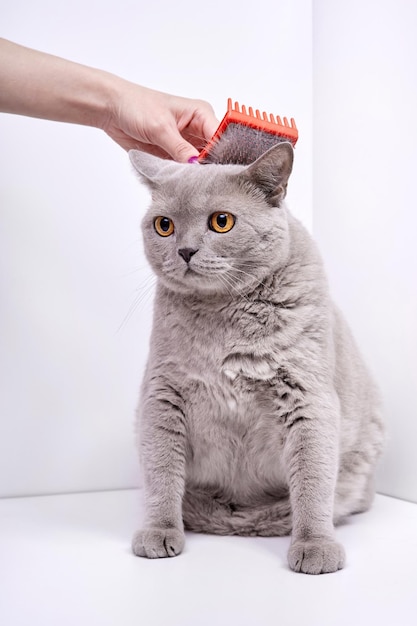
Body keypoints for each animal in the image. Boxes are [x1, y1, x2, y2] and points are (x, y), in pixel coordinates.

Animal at [129, 144, 384, 572]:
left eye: (222, 221)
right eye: (164, 225)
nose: (185, 250)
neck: (223, 315)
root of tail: (240, 520)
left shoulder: (308, 399)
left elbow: (312, 481)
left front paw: (315, 546)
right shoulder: (162, 396)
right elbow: (162, 472)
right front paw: (160, 532)